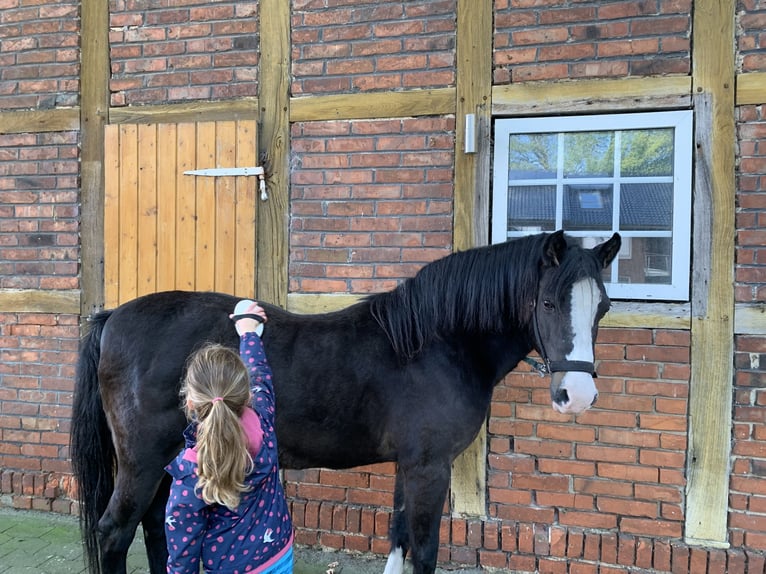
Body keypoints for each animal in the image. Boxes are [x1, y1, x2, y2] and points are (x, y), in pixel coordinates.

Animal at [70, 231, 624, 574]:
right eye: (548, 302)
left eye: (603, 306)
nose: (577, 395)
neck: (435, 343)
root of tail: (114, 316)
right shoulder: (430, 468)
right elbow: (424, 549)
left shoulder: (410, 466)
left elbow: (399, 540)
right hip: (141, 462)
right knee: (114, 532)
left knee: (156, 529)